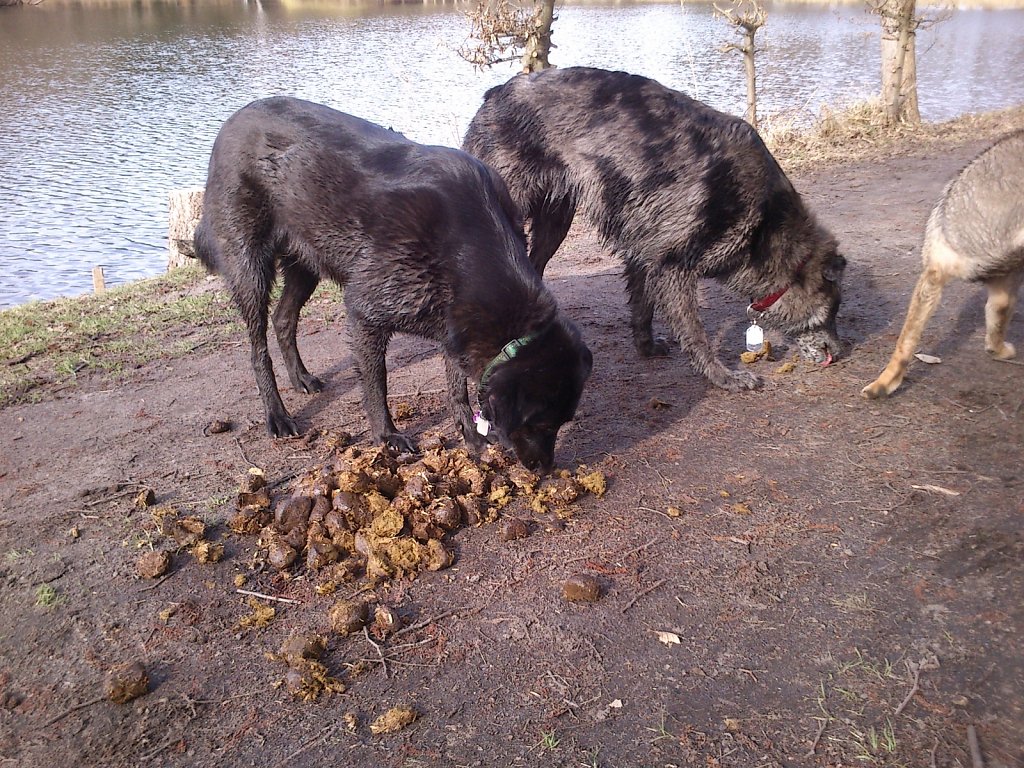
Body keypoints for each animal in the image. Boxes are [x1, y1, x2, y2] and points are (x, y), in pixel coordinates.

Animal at [193, 94, 593, 473]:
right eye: (539, 423)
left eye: (562, 422)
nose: (546, 469)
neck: (465, 244)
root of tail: (232, 121)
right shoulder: (365, 315)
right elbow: (377, 384)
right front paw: (386, 437)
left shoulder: (453, 326)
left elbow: (457, 386)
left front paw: (469, 433)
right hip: (251, 268)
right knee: (256, 345)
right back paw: (276, 414)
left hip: (306, 263)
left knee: (283, 318)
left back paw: (301, 378)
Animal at [466, 65, 847, 391]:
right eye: (831, 312)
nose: (839, 353)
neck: (765, 224)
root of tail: (495, 94)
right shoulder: (673, 267)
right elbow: (695, 334)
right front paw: (722, 377)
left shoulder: (644, 254)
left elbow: (642, 306)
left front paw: (645, 346)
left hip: (555, 221)